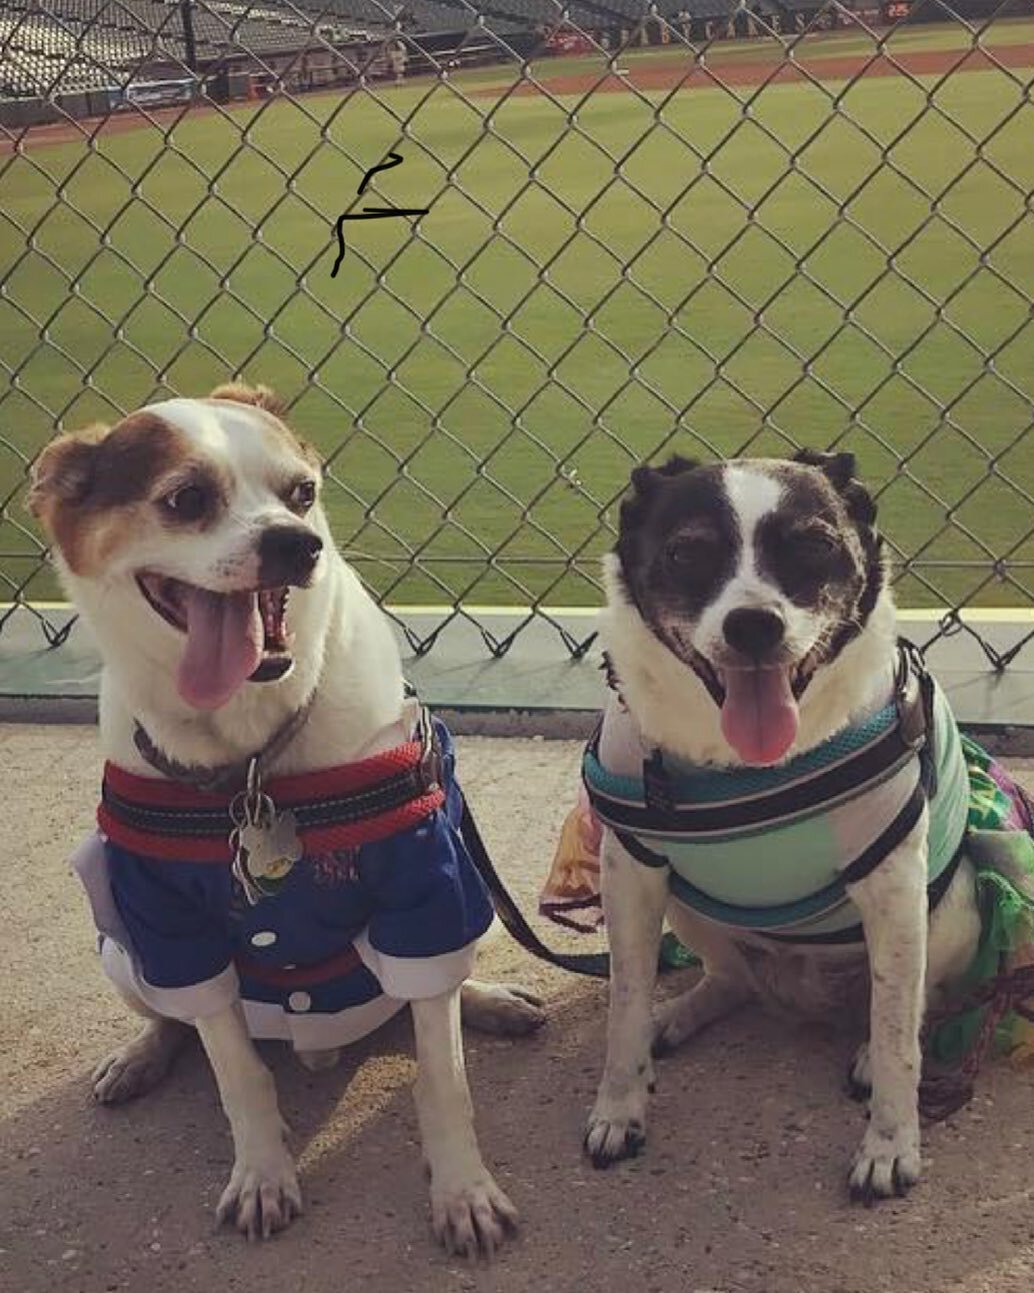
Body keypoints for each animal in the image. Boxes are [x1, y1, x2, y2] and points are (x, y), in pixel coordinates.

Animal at [27, 385, 540, 1251]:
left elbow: (443, 1075)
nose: (298, 544)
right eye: (186, 499)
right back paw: (141, 1055)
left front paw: (463, 1188)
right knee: (175, 1017)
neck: (252, 758)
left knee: (437, 990)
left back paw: (489, 1001)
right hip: (121, 948)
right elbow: (238, 1071)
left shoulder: (426, 877)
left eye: (301, 491)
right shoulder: (167, 915)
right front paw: (264, 1172)